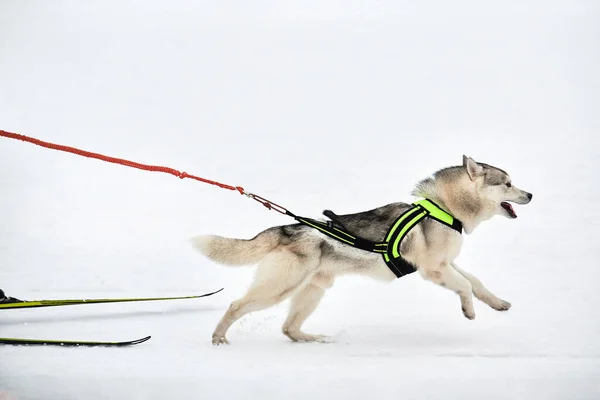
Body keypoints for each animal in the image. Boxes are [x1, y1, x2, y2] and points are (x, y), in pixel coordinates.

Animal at [191, 156, 528, 344]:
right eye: (508, 184)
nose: (531, 195)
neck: (443, 209)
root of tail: (286, 228)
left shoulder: (447, 264)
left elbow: (476, 282)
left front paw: (498, 303)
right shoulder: (435, 269)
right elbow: (465, 287)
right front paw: (469, 311)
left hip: (314, 289)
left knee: (289, 328)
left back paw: (315, 339)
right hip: (279, 288)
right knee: (236, 306)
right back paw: (219, 338)